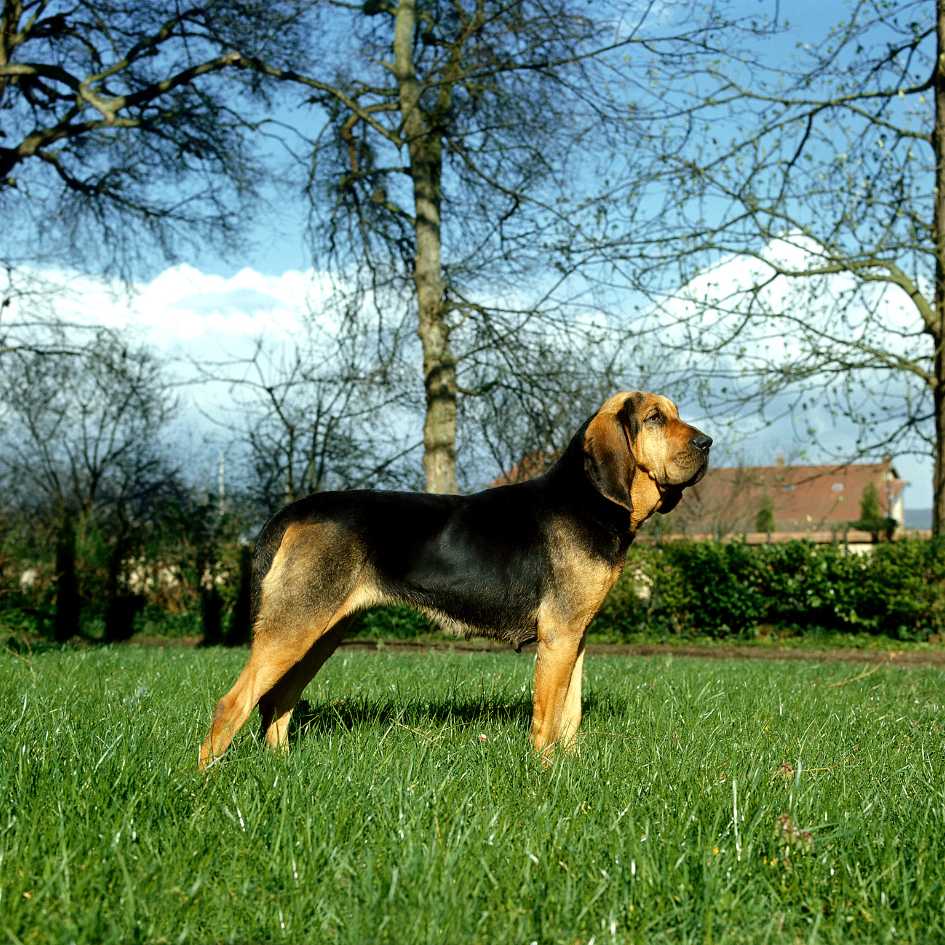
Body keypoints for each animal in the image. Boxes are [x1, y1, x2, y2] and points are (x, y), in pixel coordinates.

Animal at [199, 390, 708, 768]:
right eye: (655, 418)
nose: (707, 444)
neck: (588, 498)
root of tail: (293, 512)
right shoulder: (558, 635)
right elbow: (547, 718)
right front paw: (545, 773)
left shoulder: (574, 636)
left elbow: (571, 713)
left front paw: (570, 765)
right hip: (294, 628)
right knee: (232, 705)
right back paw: (207, 780)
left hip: (320, 634)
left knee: (278, 702)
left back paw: (282, 767)